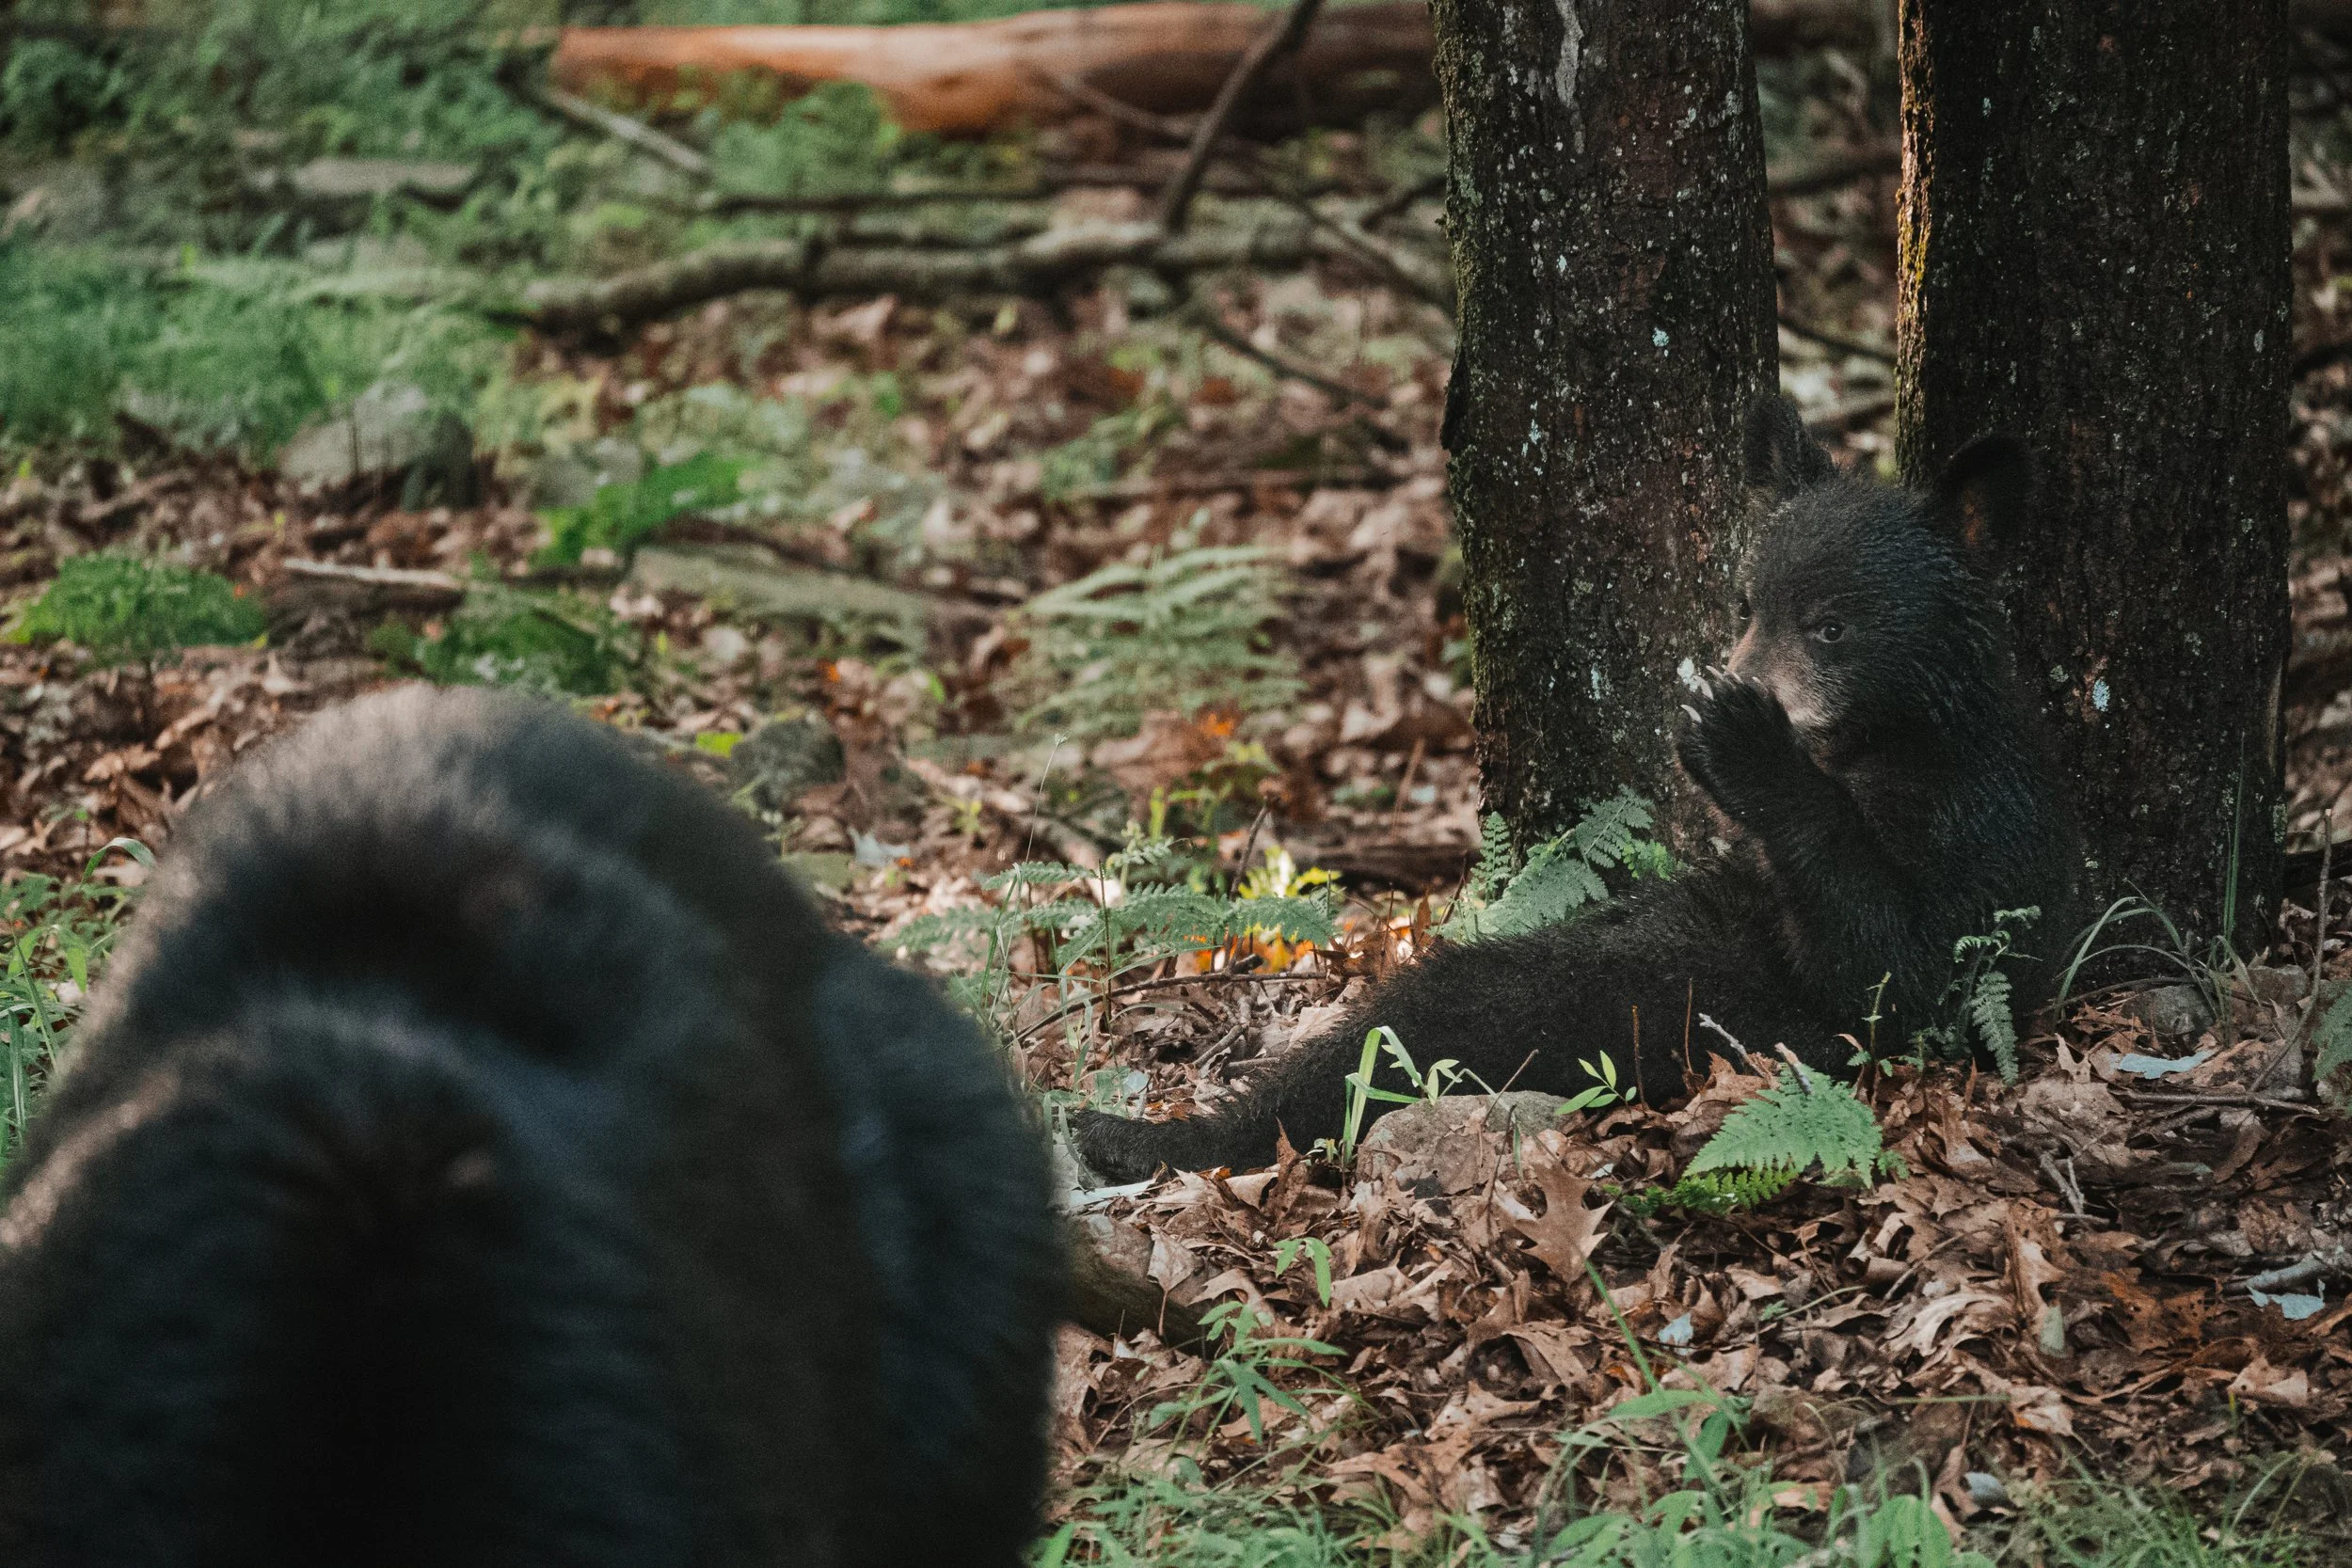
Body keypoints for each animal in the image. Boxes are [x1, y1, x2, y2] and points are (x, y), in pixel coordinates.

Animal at [1073, 395, 2078, 1183]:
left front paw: (1742, 741)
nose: (1730, 677)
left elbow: (1900, 966)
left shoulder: (1976, 824)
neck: (1888, 737)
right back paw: (1128, 1132)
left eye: (1831, 626)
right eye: (1747, 604)